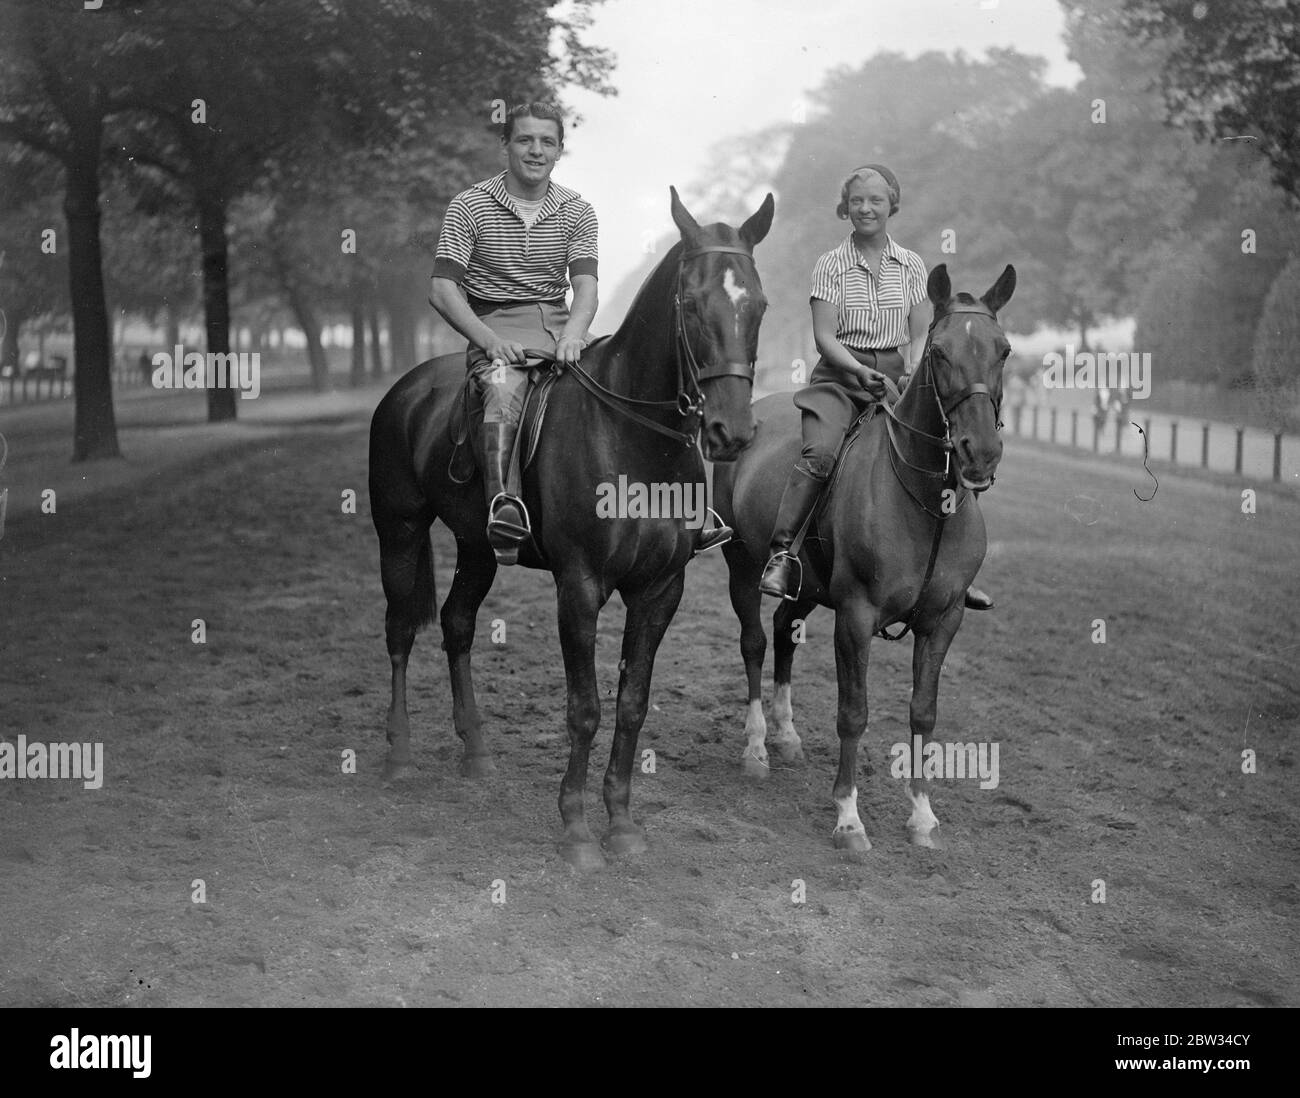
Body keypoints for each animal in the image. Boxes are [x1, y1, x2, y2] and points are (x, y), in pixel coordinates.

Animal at [366, 191, 769, 873]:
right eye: (691, 304)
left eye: (759, 305)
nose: (731, 432)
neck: (632, 434)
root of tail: (407, 388)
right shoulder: (579, 587)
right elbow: (585, 708)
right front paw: (578, 830)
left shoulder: (660, 590)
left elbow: (632, 704)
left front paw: (622, 824)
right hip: (398, 530)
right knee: (400, 630)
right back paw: (396, 755)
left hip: (479, 547)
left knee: (456, 625)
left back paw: (476, 752)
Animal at [712, 263, 1013, 847]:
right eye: (939, 352)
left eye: (1005, 350)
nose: (981, 453)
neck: (929, 503)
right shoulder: (855, 615)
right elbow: (854, 712)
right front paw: (849, 818)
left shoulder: (944, 620)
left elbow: (923, 712)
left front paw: (922, 816)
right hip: (743, 565)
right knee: (756, 642)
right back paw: (757, 747)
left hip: (808, 586)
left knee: (783, 629)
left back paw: (786, 736)